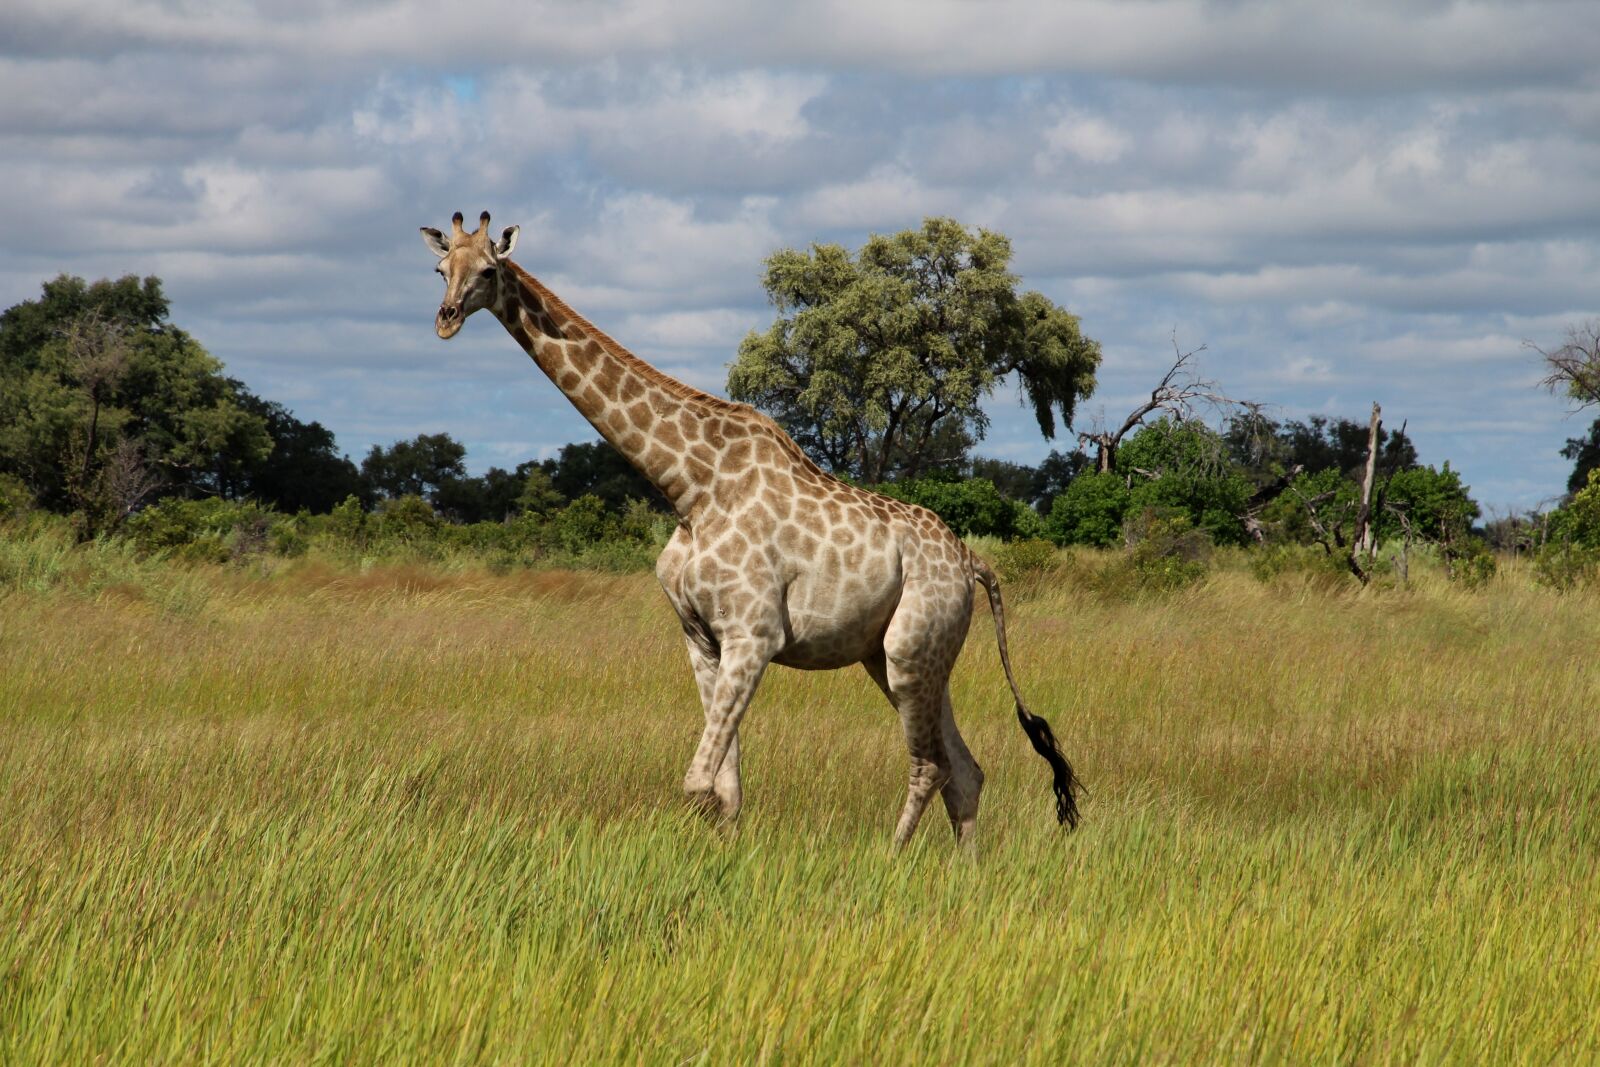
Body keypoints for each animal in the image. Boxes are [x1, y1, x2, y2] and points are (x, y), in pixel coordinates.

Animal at [421, 211, 1080, 848]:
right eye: (440, 269)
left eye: (487, 270)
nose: (445, 320)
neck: (691, 488)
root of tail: (973, 563)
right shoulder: (701, 639)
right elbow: (725, 790)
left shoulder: (754, 635)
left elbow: (697, 784)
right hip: (906, 656)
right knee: (966, 772)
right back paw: (962, 868)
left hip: (908, 651)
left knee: (931, 766)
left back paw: (893, 859)